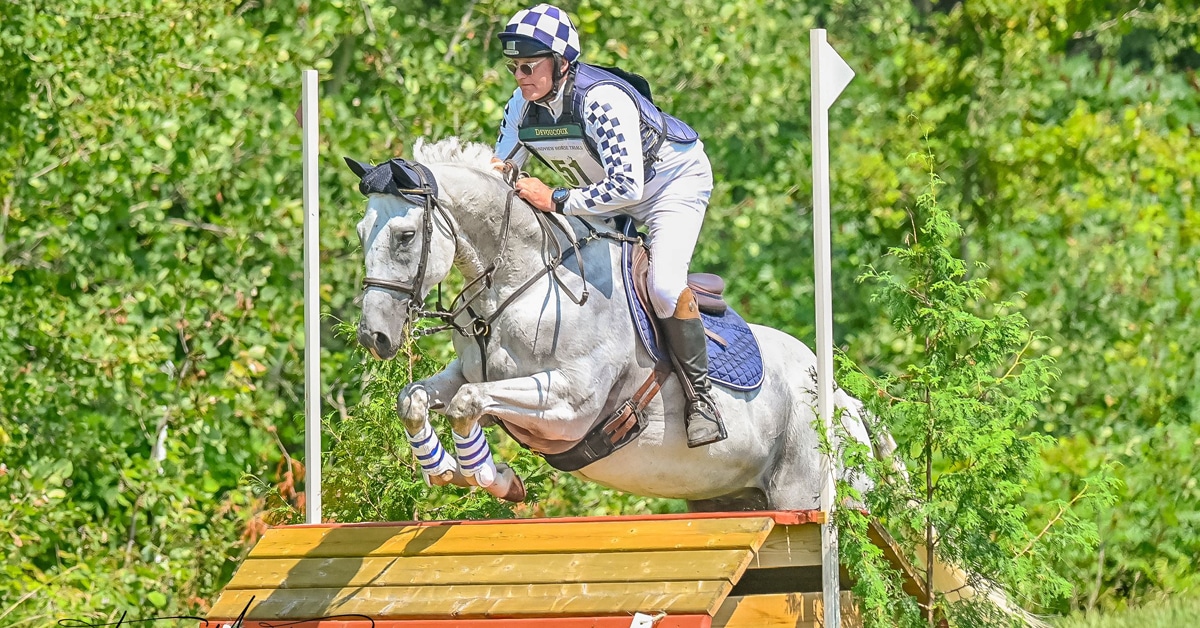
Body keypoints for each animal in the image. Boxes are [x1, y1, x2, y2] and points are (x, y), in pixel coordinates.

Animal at [349, 137, 889, 510]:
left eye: (404, 235)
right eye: (360, 231)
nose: (374, 337)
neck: (523, 281)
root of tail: (847, 405)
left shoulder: (571, 403)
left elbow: (467, 403)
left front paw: (486, 476)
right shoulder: (467, 372)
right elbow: (415, 399)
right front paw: (451, 471)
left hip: (804, 494)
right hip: (728, 497)